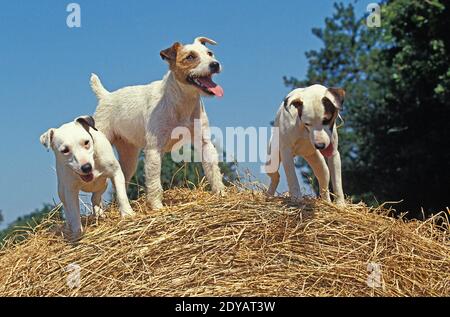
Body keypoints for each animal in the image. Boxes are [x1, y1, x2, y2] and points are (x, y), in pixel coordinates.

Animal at [90, 36, 225, 210]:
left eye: (210, 53)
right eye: (190, 57)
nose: (215, 64)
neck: (181, 100)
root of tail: (105, 96)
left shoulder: (205, 143)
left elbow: (213, 171)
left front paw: (221, 193)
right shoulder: (154, 149)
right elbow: (154, 183)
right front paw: (157, 207)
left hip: (129, 158)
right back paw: (98, 212)